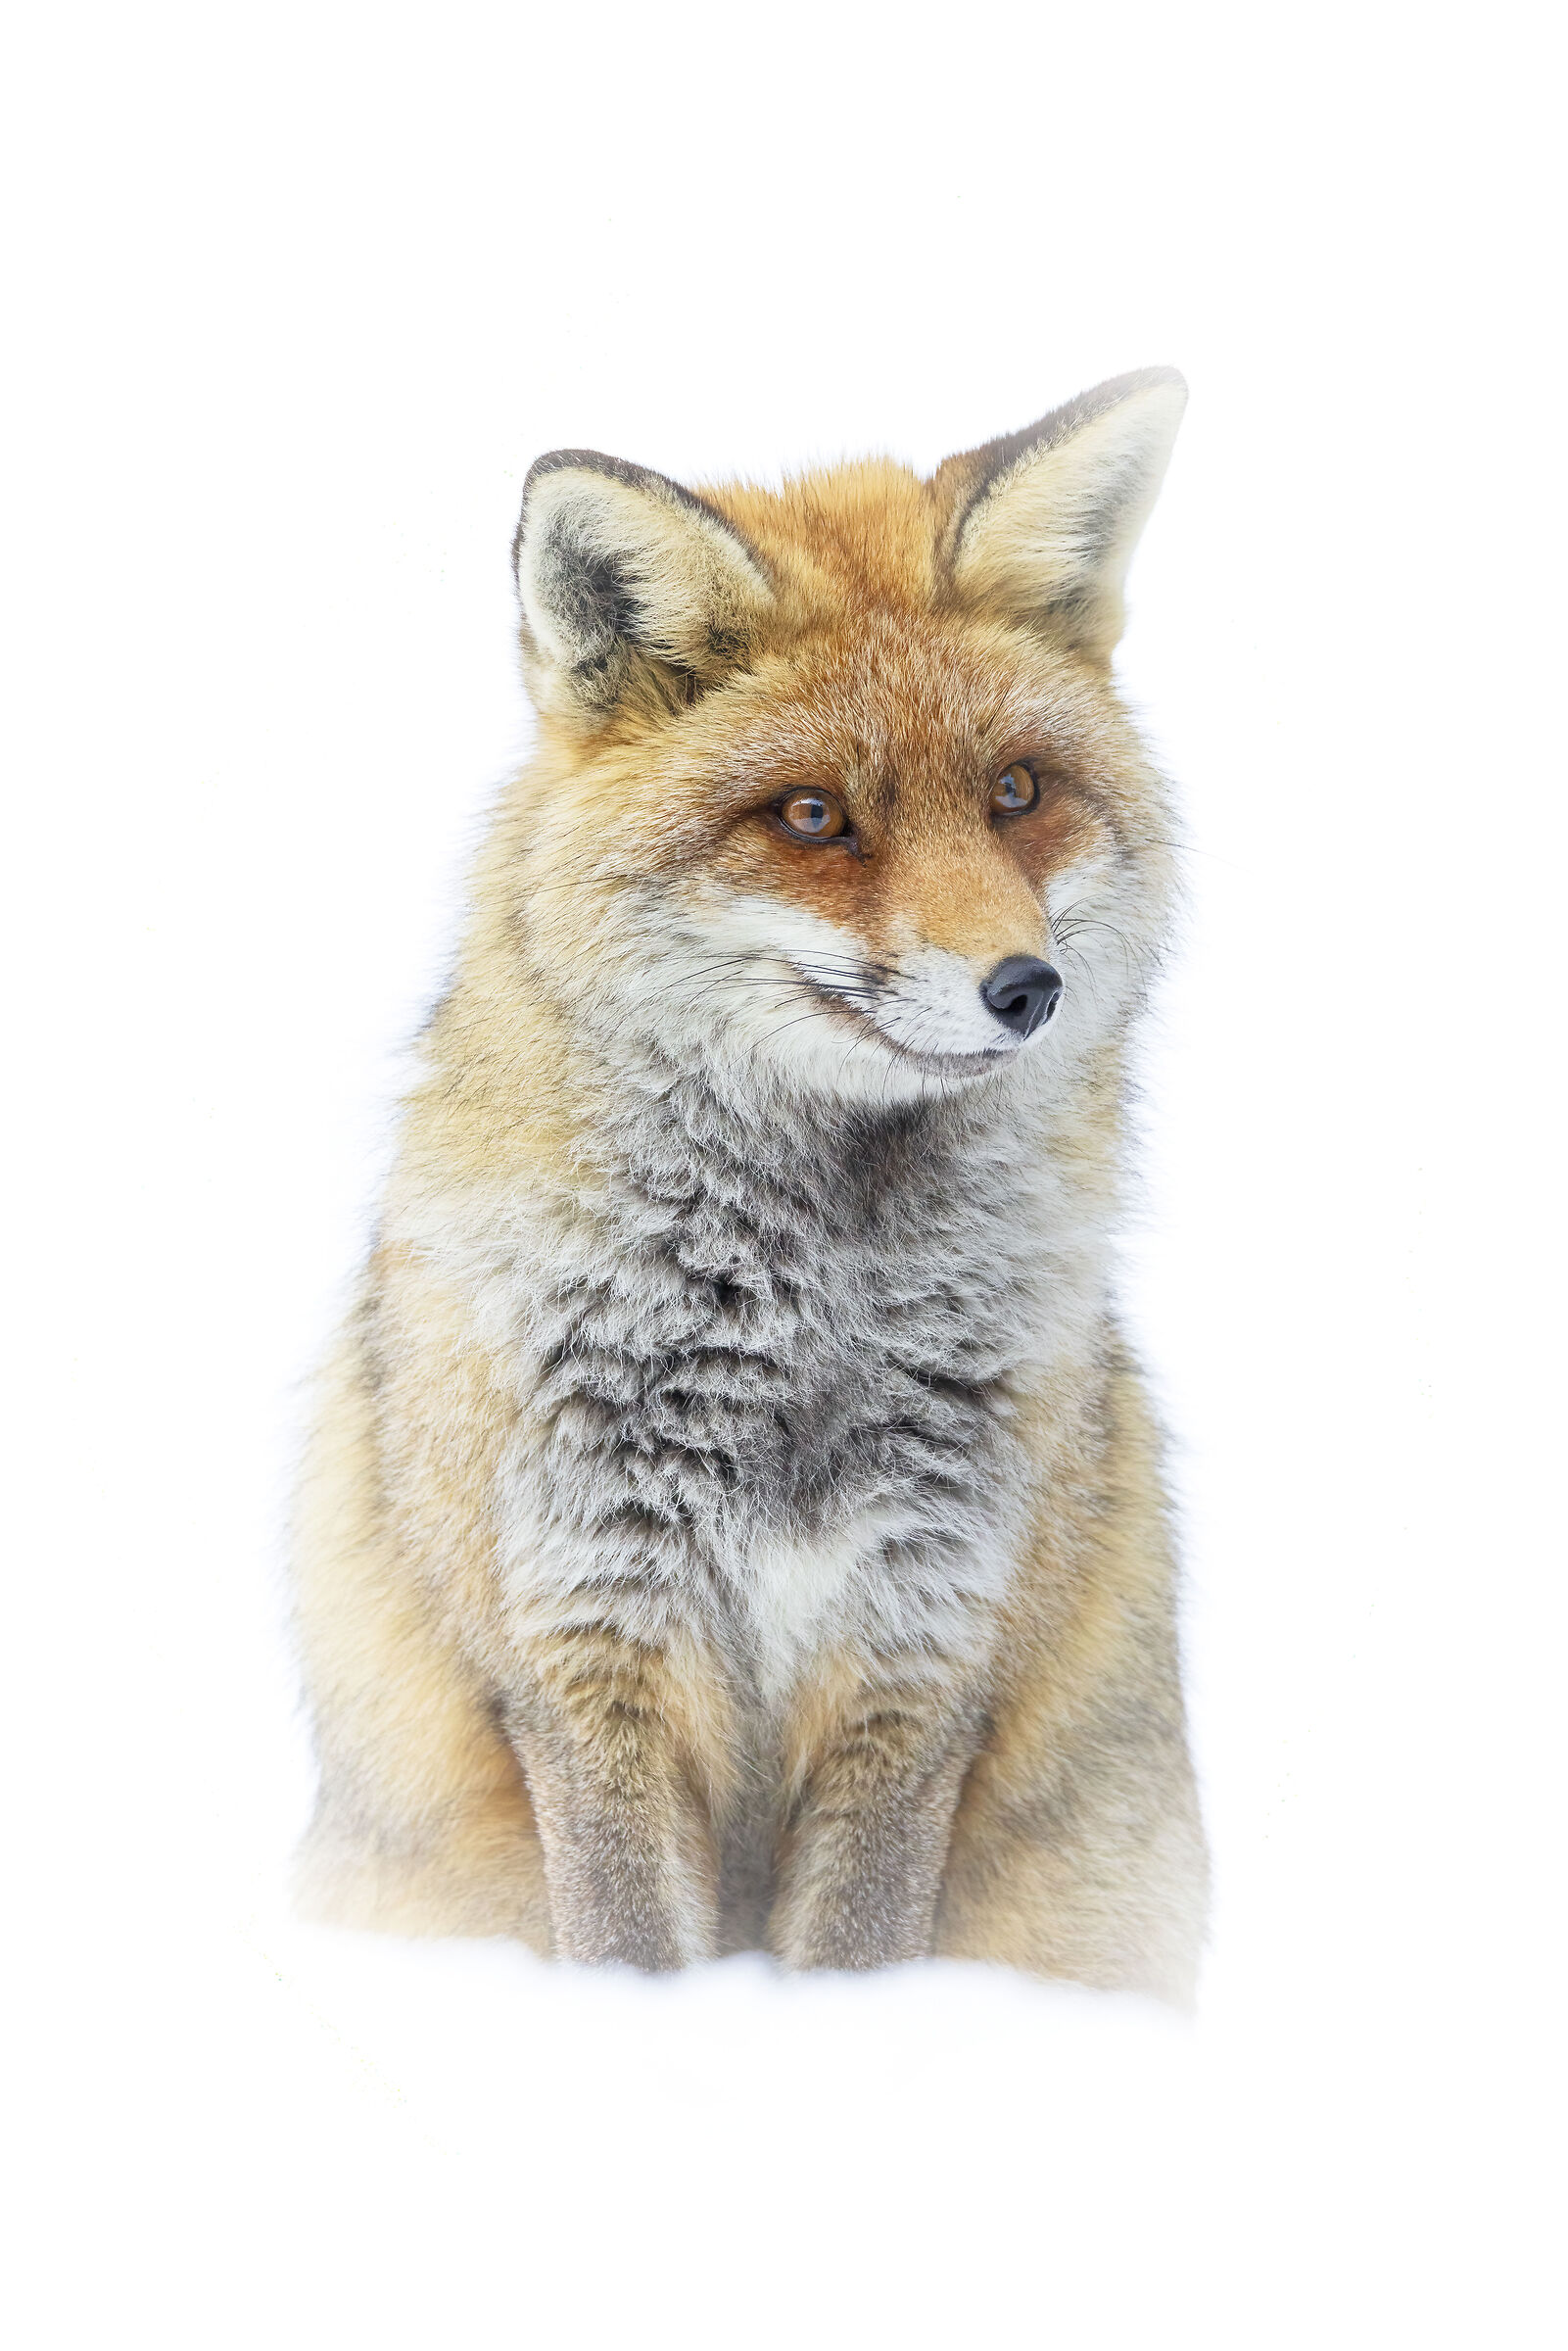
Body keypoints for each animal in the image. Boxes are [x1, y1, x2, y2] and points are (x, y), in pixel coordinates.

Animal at [290, 367, 1209, 2001]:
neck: (804, 1339)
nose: (1023, 988)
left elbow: (856, 1952)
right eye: (812, 817)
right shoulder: (587, 1645)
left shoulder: (924, 1647)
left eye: (1018, 791)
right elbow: (627, 1947)